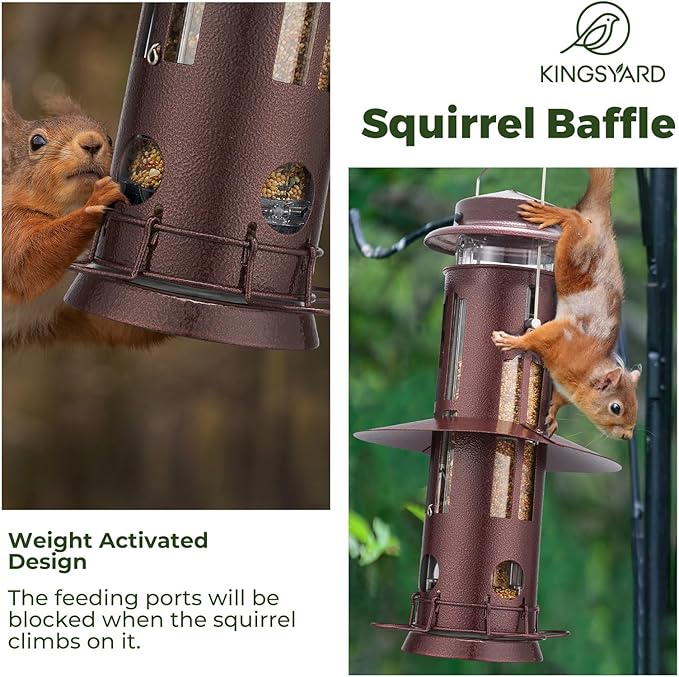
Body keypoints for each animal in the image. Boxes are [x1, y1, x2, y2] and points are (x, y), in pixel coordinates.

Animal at [2, 82, 164, 349]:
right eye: (36, 141)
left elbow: (122, 326)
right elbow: (25, 262)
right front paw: (97, 200)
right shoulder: (8, 225)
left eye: (110, 138)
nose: (91, 142)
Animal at [491, 168, 641, 440]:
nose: (628, 436)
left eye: (635, 403)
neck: (589, 368)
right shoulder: (563, 336)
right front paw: (515, 342)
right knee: (576, 219)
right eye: (616, 408)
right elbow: (536, 338)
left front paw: (552, 415)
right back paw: (557, 215)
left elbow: (559, 398)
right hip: (575, 253)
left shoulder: (563, 384)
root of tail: (602, 219)